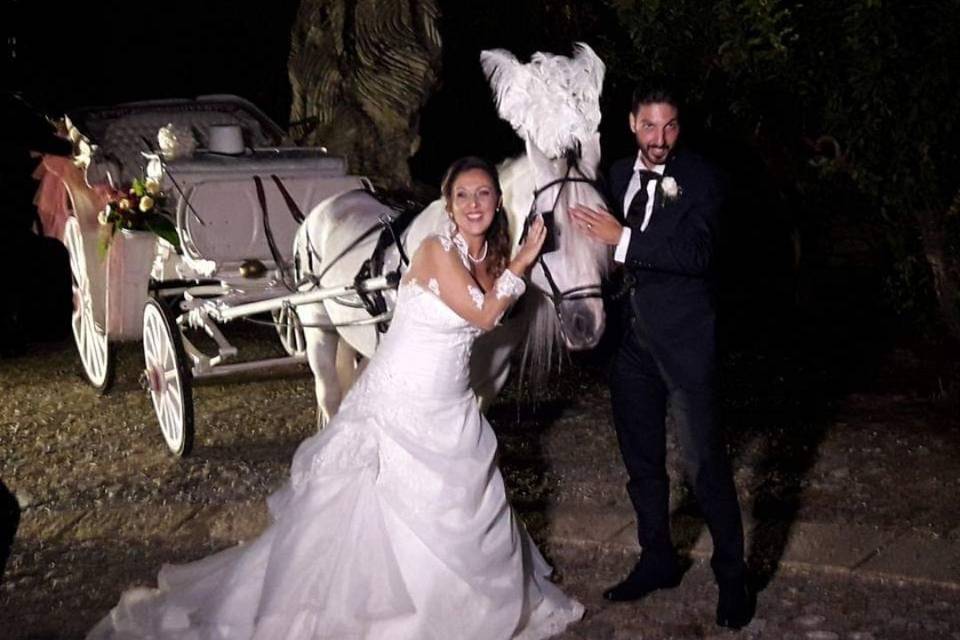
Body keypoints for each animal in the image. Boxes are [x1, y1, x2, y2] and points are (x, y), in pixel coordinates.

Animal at [294, 43, 608, 424]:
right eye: (549, 233)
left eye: (599, 225)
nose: (587, 325)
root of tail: (326, 207)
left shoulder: (489, 379)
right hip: (318, 331)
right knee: (329, 394)